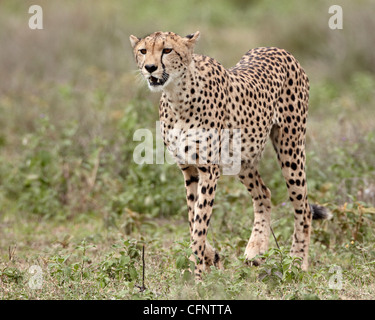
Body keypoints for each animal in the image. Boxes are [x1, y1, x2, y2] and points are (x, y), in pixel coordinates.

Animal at [130, 31, 332, 278]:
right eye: (143, 51)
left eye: (167, 50)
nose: (150, 67)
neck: (177, 95)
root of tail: (277, 49)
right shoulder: (189, 170)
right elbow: (192, 217)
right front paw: (209, 256)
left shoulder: (209, 170)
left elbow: (199, 222)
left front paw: (197, 272)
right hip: (242, 159)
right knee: (264, 193)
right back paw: (256, 249)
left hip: (290, 148)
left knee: (302, 207)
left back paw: (297, 263)